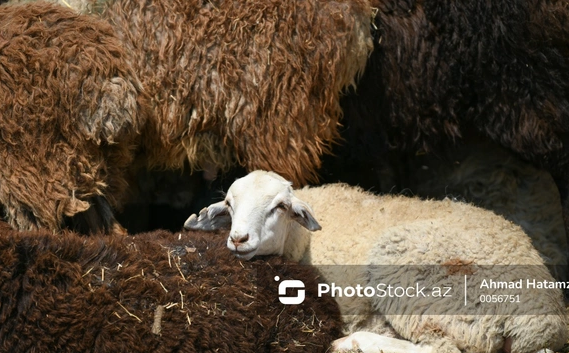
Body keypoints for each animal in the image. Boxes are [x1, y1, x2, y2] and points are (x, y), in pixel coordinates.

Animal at [186, 170, 568, 352]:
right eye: (230, 205)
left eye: (279, 206)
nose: (239, 239)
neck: (301, 239)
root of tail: (542, 321)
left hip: (415, 280)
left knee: (441, 349)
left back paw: (353, 344)